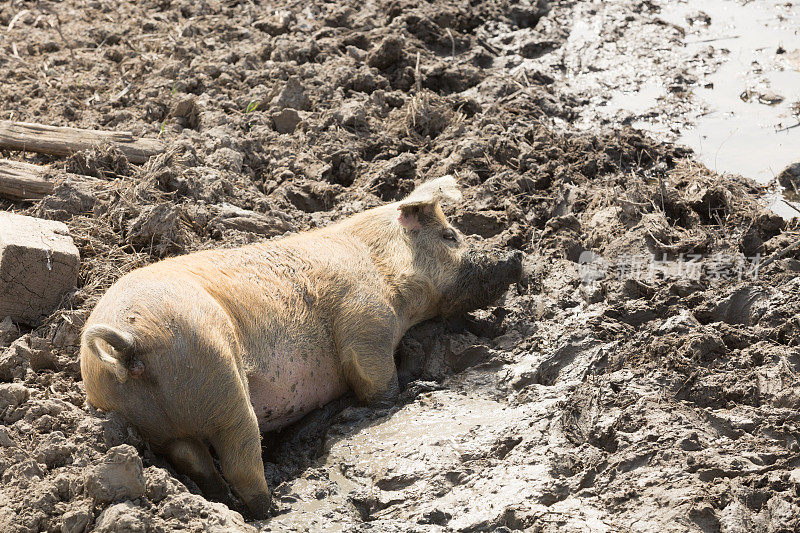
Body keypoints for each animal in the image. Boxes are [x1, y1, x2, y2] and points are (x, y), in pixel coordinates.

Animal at [78, 177, 520, 516]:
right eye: (450, 235)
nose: (515, 255)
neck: (382, 268)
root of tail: (128, 344)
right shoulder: (365, 319)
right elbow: (375, 381)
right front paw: (403, 396)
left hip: (149, 418)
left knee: (193, 459)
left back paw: (227, 501)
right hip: (217, 374)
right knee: (240, 454)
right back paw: (274, 506)